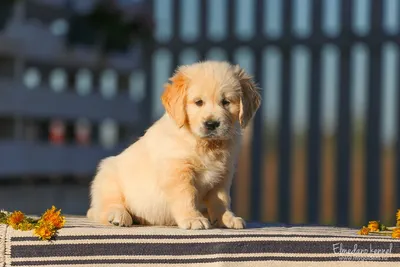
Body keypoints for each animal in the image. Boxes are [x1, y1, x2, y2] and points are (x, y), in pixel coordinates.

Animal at [87, 60, 260, 230]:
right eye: (198, 102)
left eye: (226, 102)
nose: (211, 124)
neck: (204, 144)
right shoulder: (177, 170)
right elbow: (187, 195)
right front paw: (193, 219)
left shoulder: (223, 174)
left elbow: (222, 199)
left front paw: (227, 218)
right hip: (109, 178)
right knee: (105, 206)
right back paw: (118, 215)